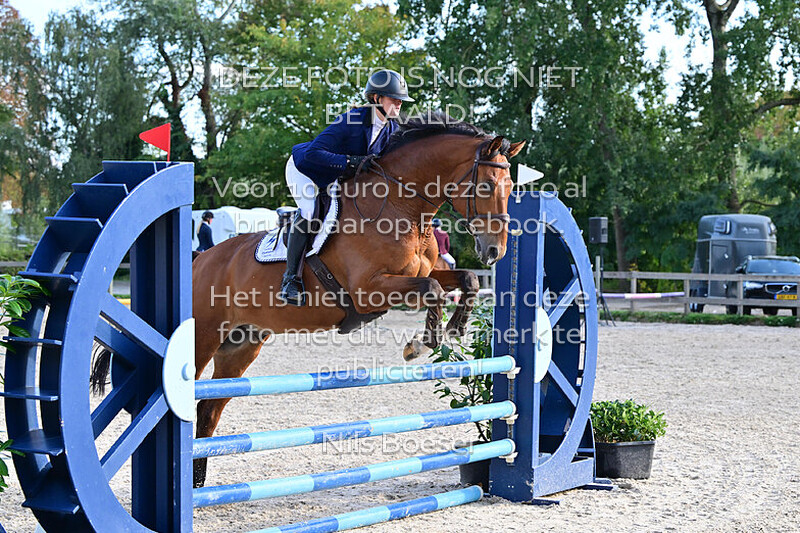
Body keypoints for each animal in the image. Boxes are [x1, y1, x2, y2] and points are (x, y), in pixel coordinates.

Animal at [190, 113, 523, 487]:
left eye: (511, 187)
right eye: (487, 186)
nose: (494, 251)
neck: (400, 205)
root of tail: (201, 260)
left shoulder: (423, 273)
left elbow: (465, 280)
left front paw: (453, 329)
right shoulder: (369, 289)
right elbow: (433, 290)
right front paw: (420, 345)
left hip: (240, 345)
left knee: (208, 409)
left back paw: (198, 482)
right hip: (203, 336)